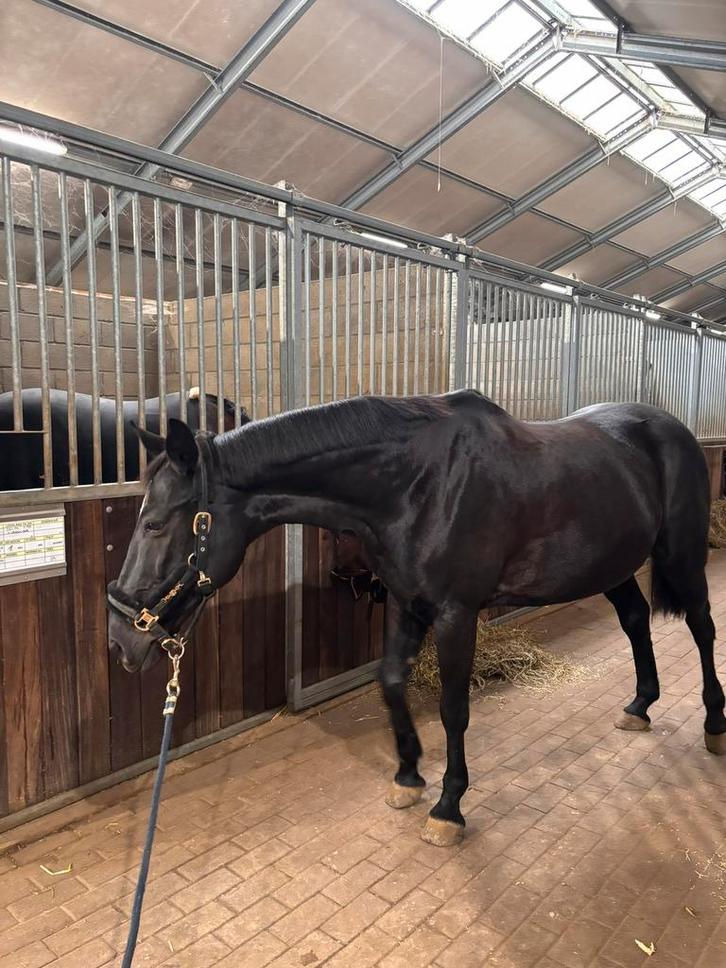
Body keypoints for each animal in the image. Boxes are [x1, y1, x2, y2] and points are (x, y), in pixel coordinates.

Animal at [107, 389, 725, 847]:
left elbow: (453, 708)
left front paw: (449, 807)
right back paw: (640, 705)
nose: (119, 640)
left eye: (156, 524)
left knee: (701, 626)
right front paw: (407, 776)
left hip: (681, 553)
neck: (415, 484)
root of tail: (670, 428)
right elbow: (391, 683)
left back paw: (714, 723)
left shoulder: (456, 614)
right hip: (612, 564)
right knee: (637, 620)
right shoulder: (406, 603)